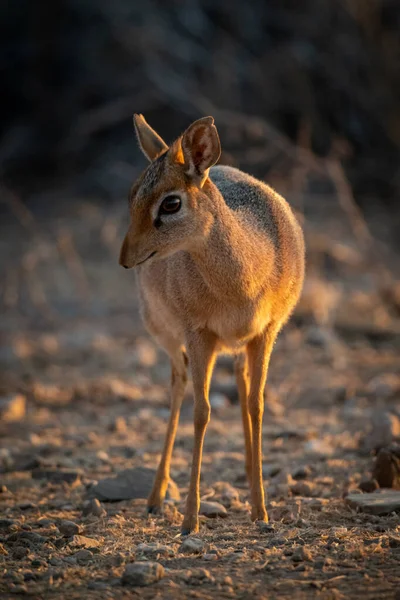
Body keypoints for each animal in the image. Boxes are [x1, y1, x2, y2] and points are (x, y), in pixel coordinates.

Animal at [120, 115, 304, 532]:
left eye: (171, 202)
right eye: (132, 194)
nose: (125, 257)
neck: (243, 280)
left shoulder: (266, 332)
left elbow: (256, 405)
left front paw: (261, 509)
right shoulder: (198, 334)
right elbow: (201, 412)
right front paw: (190, 518)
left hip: (237, 344)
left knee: (241, 381)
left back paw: (251, 479)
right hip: (168, 336)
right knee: (178, 384)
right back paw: (155, 496)